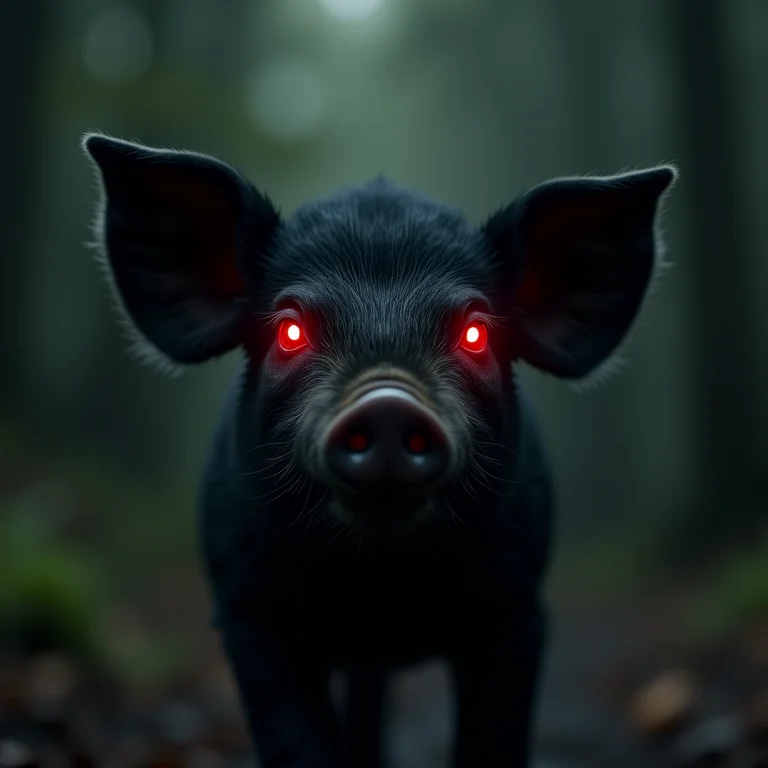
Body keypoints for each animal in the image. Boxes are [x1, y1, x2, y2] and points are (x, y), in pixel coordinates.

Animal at [82, 133, 676, 768]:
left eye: (476, 333)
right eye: (290, 331)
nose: (388, 400)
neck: (379, 584)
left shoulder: (519, 606)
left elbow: (493, 737)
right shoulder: (244, 606)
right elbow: (296, 738)